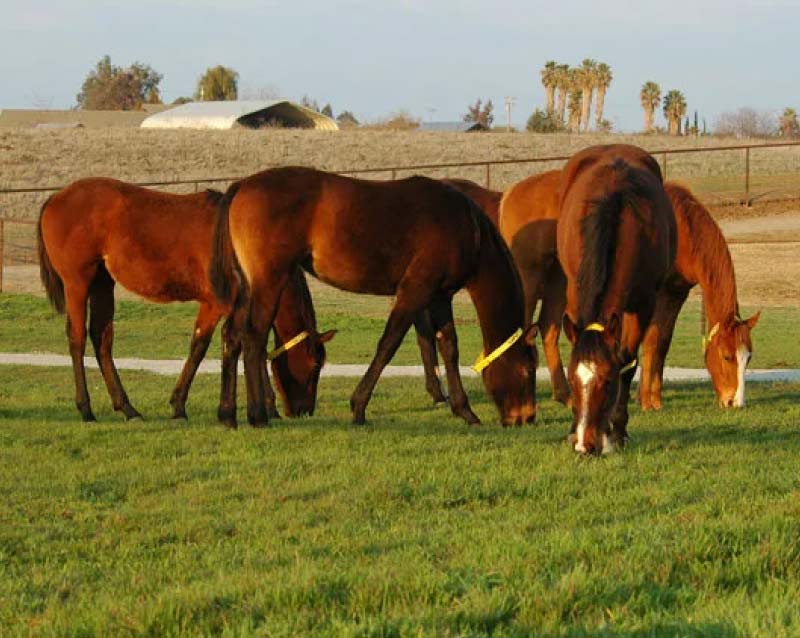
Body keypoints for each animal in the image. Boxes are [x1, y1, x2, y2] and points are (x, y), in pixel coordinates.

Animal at [37, 178, 334, 424]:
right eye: (315, 365)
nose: (304, 410)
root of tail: (55, 198)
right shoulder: (217, 304)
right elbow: (204, 348)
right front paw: (181, 405)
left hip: (102, 282)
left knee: (102, 339)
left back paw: (127, 408)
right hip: (78, 283)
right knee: (77, 339)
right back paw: (86, 409)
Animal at [209, 167, 538, 428]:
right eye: (528, 370)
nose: (526, 417)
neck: (468, 228)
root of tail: (242, 185)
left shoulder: (440, 297)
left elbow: (449, 348)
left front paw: (465, 410)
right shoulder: (415, 291)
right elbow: (388, 345)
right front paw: (358, 407)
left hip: (247, 288)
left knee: (232, 336)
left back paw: (228, 414)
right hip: (269, 281)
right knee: (253, 338)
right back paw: (257, 415)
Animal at [557, 145, 676, 454]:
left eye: (607, 381)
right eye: (572, 379)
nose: (585, 446)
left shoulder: (643, 305)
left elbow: (627, 361)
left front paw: (617, 431)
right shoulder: (573, 295)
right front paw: (573, 429)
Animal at [639, 183, 760, 409]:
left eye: (748, 358)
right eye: (727, 357)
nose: (735, 403)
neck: (681, 229)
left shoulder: (674, 293)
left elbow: (663, 342)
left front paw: (656, 400)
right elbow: (651, 340)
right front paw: (644, 401)